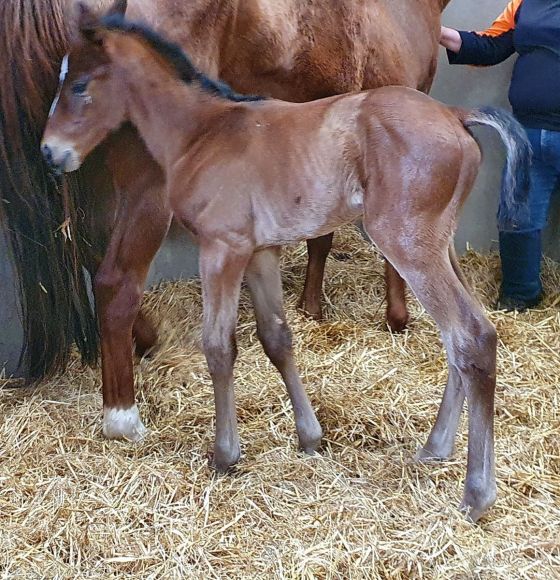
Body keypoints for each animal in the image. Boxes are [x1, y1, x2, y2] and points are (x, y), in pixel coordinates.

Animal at [0, 0, 448, 378]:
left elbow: (320, 235)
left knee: (90, 254)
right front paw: (396, 316)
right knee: (115, 283)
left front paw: (311, 307)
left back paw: (148, 342)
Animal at [41, 4, 532, 520]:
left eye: (78, 85)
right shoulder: (260, 252)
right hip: (440, 245)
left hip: (408, 245)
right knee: (459, 339)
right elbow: (277, 338)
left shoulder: (222, 248)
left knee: (470, 336)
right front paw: (309, 436)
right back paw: (435, 447)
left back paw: (476, 492)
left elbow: (218, 346)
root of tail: (455, 115)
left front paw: (225, 454)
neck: (202, 133)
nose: (50, 152)